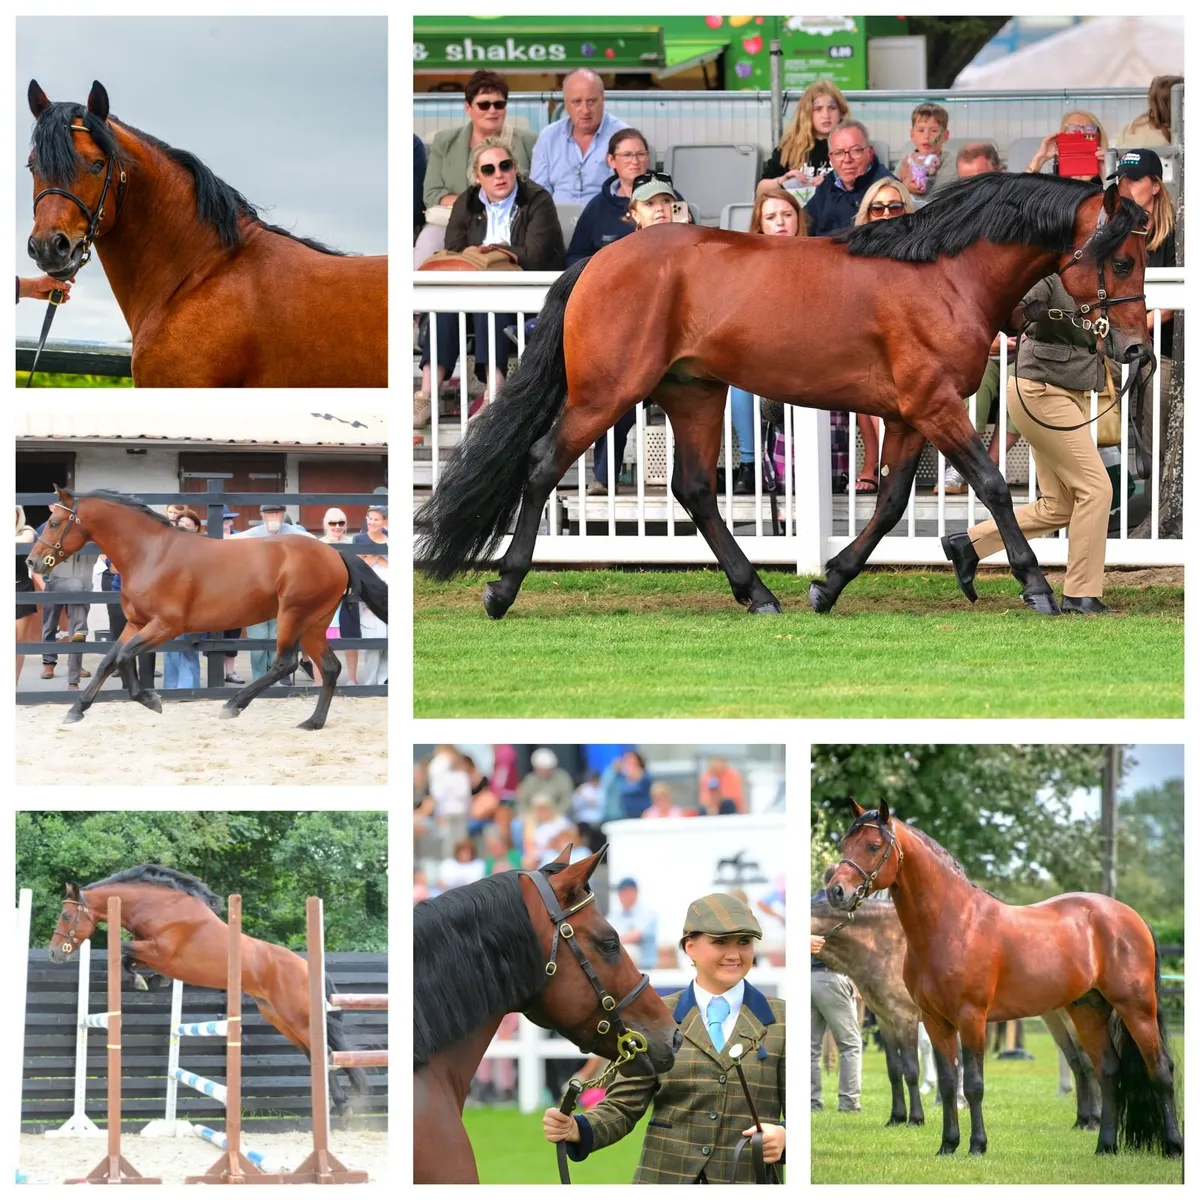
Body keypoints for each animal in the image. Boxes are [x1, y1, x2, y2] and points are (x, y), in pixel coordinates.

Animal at [26, 485, 387, 730]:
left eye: (55, 522)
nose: (32, 562)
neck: (150, 553)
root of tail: (335, 553)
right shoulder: (135, 623)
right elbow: (108, 661)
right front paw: (76, 709)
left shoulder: (166, 626)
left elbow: (126, 657)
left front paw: (151, 700)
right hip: (314, 623)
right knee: (330, 668)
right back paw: (312, 722)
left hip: (293, 615)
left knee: (285, 663)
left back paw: (233, 705)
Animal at [47, 865, 370, 1114]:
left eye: (66, 916)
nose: (54, 953)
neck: (157, 906)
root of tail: (307, 967)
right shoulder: (151, 952)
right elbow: (129, 957)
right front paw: (153, 981)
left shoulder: (160, 951)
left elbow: (123, 949)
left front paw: (144, 980)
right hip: (279, 1018)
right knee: (315, 1053)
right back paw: (342, 1106)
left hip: (297, 1017)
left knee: (325, 1051)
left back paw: (345, 1106)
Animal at [415, 172, 1151, 618]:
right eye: (1121, 260)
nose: (1137, 350)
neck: (943, 276)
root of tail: (596, 261)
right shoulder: (936, 408)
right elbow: (994, 487)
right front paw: (1038, 586)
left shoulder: (910, 416)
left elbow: (889, 504)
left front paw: (828, 584)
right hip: (607, 393)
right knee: (544, 464)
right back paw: (502, 588)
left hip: (694, 392)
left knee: (694, 488)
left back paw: (758, 591)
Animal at [810, 890, 1101, 1130]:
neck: (882, 944)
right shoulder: (885, 1020)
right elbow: (894, 1070)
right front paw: (896, 1117)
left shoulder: (905, 1017)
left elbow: (910, 1069)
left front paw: (916, 1119)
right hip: (1054, 1017)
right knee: (1076, 1061)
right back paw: (1082, 1119)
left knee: (1088, 1061)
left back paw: (1094, 1121)